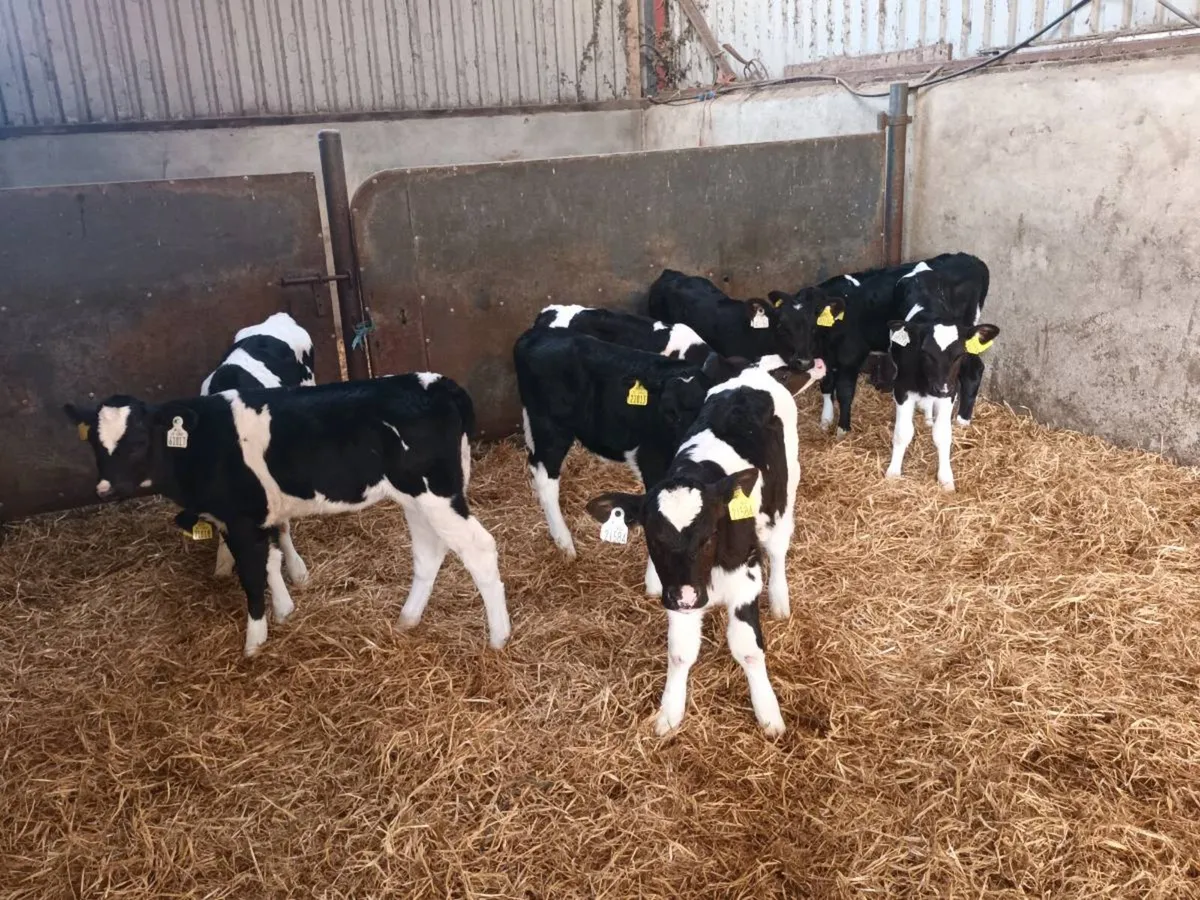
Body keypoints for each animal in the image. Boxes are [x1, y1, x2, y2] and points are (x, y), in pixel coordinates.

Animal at [63, 373, 511, 657]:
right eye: (95, 445)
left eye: (139, 439)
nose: (107, 488)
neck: (200, 445)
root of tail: (440, 383)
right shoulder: (245, 519)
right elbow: (271, 559)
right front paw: (284, 610)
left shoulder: (241, 519)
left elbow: (251, 575)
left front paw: (254, 640)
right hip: (416, 498)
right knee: (429, 553)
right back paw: (407, 619)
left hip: (437, 492)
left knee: (479, 548)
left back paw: (499, 638)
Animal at [584, 362, 800, 736]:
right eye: (653, 537)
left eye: (710, 534)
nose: (687, 596)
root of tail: (753, 372)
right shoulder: (676, 591)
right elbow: (681, 652)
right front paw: (670, 712)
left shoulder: (745, 581)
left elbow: (748, 649)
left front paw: (768, 712)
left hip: (785, 496)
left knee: (778, 548)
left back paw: (779, 599)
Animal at [811, 252, 990, 435]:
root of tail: (971, 259)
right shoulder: (824, 356)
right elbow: (826, 384)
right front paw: (825, 420)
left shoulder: (851, 354)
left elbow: (844, 390)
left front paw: (842, 429)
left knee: (973, 370)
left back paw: (962, 421)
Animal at [884, 284, 1000, 490]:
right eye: (925, 352)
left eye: (959, 354)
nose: (941, 388)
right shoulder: (902, 389)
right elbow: (903, 433)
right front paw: (893, 472)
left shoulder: (950, 393)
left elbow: (943, 435)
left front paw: (946, 478)